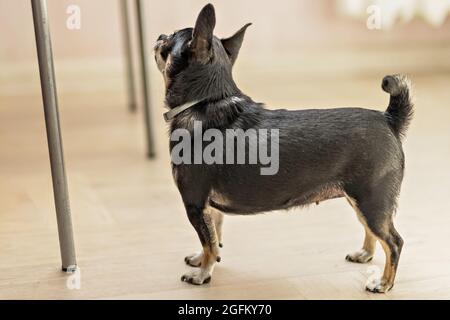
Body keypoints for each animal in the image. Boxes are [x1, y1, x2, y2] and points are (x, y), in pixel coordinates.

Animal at [153, 3, 414, 292]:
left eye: (169, 40)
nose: (159, 35)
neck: (205, 102)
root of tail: (389, 118)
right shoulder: (209, 209)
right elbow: (213, 237)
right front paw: (202, 261)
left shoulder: (195, 203)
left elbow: (208, 241)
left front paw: (202, 274)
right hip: (361, 200)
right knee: (373, 232)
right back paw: (365, 254)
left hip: (371, 200)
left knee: (394, 241)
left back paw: (384, 283)